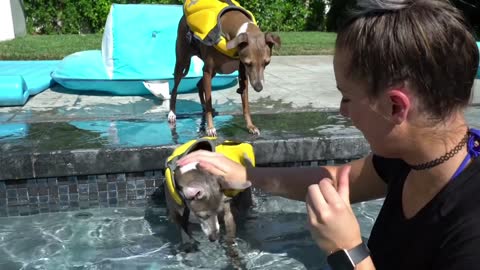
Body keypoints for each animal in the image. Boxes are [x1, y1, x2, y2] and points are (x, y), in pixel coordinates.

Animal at [169, 1, 282, 136]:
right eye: (248, 63)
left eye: (267, 63)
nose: (259, 88)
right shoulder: (207, 71)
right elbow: (209, 100)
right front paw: (210, 128)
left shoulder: (243, 74)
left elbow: (246, 105)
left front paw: (250, 126)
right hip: (182, 61)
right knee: (175, 89)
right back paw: (172, 113)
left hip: (214, 71)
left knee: (199, 85)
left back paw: (203, 106)